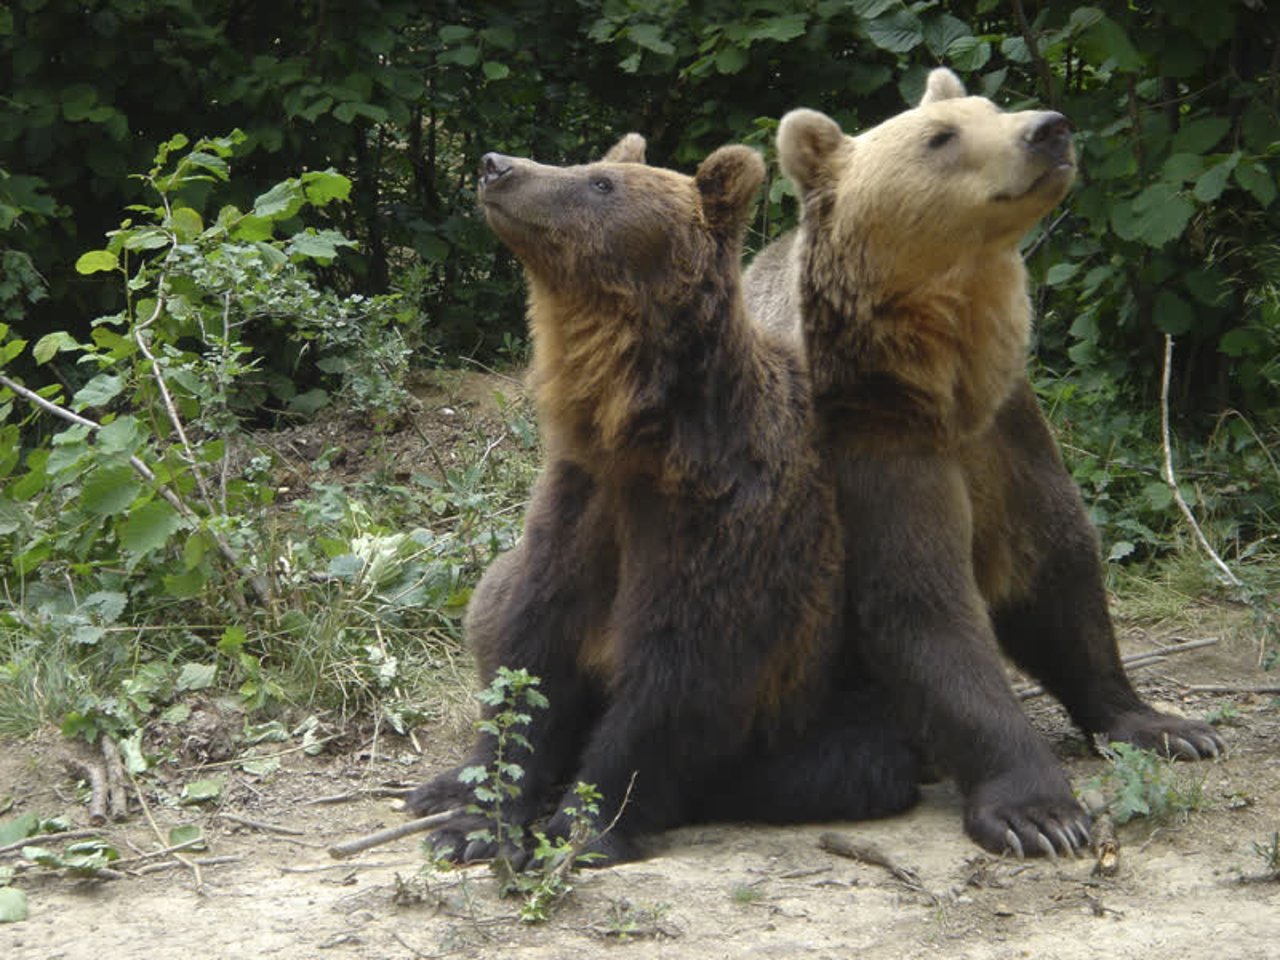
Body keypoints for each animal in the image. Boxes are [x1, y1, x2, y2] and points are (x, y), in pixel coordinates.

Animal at [404, 133, 916, 865]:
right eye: (591, 165)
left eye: (601, 183)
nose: (496, 166)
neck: (641, 437)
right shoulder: (578, 503)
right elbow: (530, 652)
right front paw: (475, 822)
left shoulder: (726, 525)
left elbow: (673, 680)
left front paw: (578, 827)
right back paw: (440, 786)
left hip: (841, 697)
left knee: (844, 764)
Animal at [747, 69, 1223, 865]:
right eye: (941, 136)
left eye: (989, 108)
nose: (1049, 128)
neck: (945, 378)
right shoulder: (873, 442)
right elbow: (926, 608)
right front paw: (1042, 814)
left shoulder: (1007, 432)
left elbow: (1056, 574)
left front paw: (1171, 725)